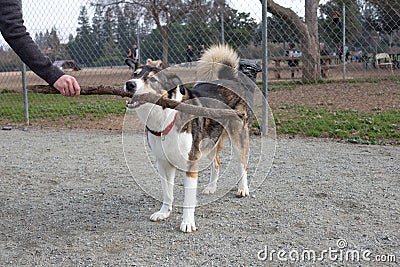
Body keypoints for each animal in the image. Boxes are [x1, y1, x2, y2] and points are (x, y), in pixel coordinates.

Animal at [124, 44, 250, 232]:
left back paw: (243, 189)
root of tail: (230, 80)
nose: (130, 84)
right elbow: (167, 193)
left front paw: (188, 222)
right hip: (208, 142)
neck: (166, 116)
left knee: (242, 164)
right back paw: (211, 187)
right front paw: (164, 212)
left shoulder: (190, 163)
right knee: (217, 164)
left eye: (153, 79)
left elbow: (188, 198)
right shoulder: (163, 163)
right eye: (134, 74)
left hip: (237, 137)